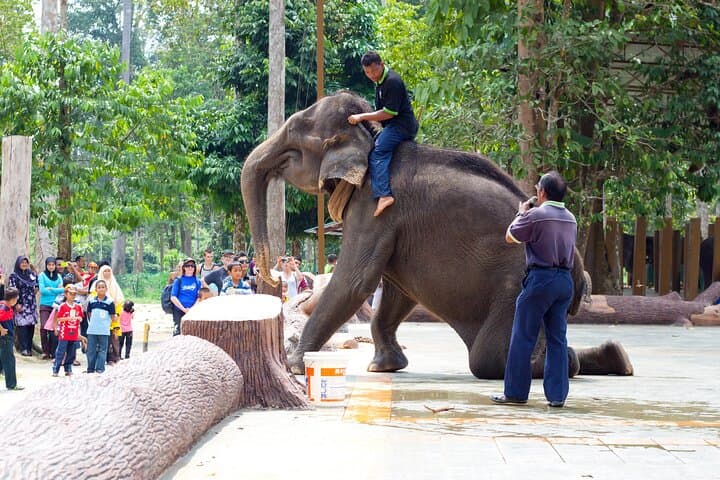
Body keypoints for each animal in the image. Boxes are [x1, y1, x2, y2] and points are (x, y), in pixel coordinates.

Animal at [241, 91, 633, 380]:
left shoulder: (375, 206)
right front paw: (384, 366)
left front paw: (295, 364)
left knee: (488, 356)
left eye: (293, 137)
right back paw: (616, 358)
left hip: (515, 287)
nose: (270, 272)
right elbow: (395, 291)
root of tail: (579, 274)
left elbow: (356, 281)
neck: (373, 137)